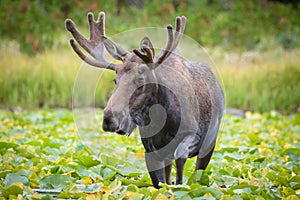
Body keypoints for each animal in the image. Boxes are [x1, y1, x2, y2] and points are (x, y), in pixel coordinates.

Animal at [66, 11, 225, 188]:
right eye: (115, 80)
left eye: (141, 81)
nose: (109, 118)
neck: (163, 119)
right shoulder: (150, 151)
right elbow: (160, 183)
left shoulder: (193, 135)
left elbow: (181, 156)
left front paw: (180, 185)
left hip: (210, 143)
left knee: (198, 172)